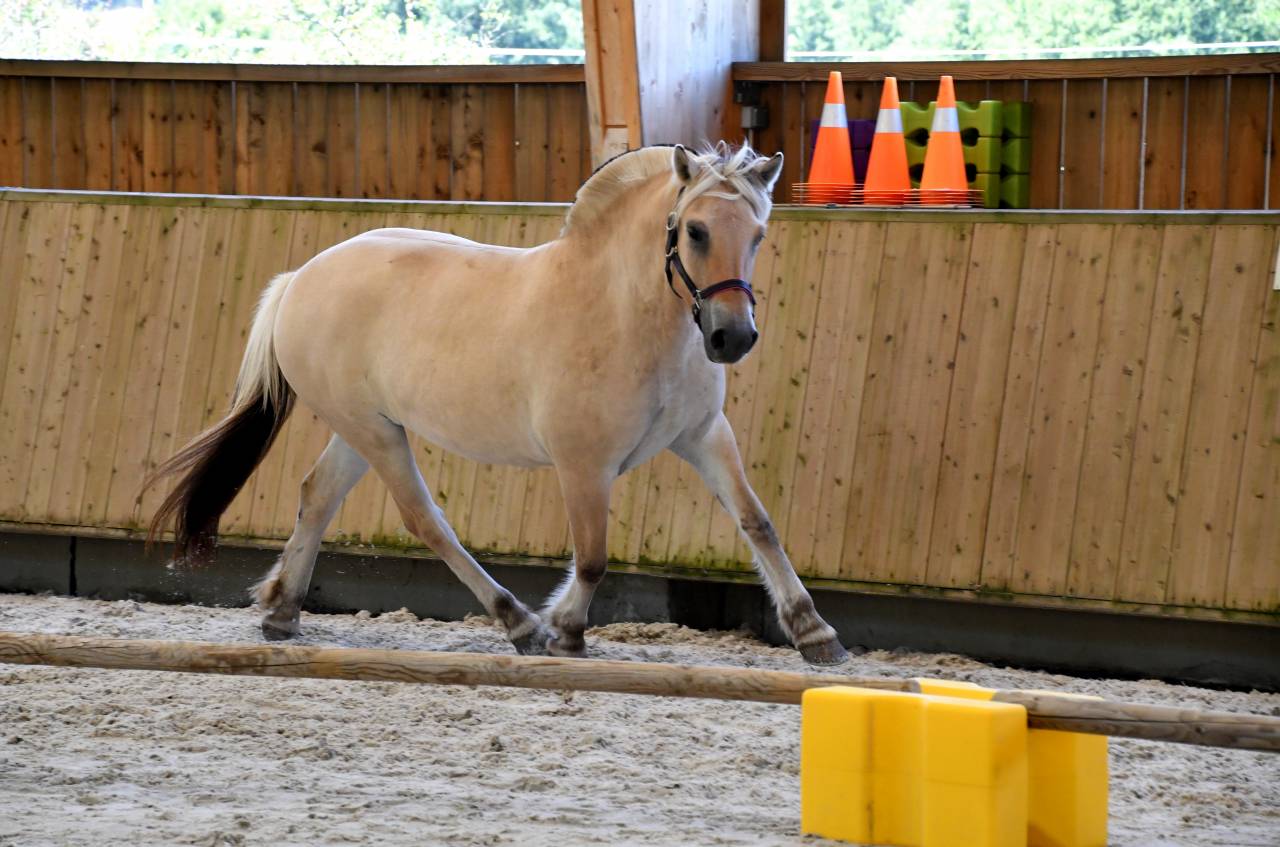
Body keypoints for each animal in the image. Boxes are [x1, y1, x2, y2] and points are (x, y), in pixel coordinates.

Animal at [146, 143, 850, 666]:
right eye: (697, 230)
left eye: (758, 233)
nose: (733, 338)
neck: (627, 315)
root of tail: (300, 278)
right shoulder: (583, 463)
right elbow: (593, 556)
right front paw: (564, 629)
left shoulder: (704, 436)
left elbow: (758, 522)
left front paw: (815, 632)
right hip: (377, 434)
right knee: (426, 519)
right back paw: (517, 622)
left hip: (363, 427)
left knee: (318, 495)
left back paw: (282, 610)